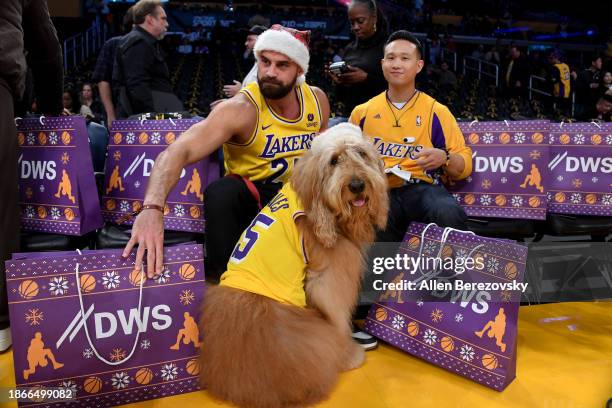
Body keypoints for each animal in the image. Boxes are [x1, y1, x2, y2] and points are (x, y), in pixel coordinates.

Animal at [201, 123, 390, 408]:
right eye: (334, 160)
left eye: (361, 153)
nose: (357, 185)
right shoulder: (329, 278)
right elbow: (338, 318)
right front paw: (348, 355)